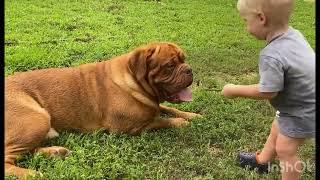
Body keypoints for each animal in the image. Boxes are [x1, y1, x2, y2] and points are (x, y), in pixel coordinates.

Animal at [5, 41, 201, 178]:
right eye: (170, 66)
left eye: (184, 59)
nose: (189, 69)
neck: (133, 78)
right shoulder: (129, 128)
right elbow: (160, 120)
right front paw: (180, 122)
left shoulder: (153, 105)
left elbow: (167, 109)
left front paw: (192, 115)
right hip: (37, 120)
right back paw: (31, 173)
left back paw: (55, 152)